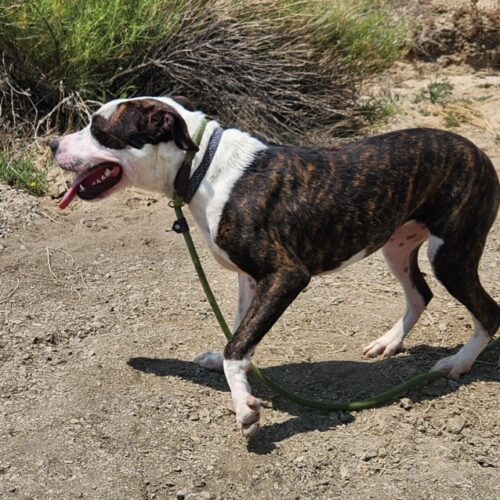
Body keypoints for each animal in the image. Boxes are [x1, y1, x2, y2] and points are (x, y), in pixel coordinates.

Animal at [50, 96, 500, 438]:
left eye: (98, 127)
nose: (53, 144)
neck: (201, 164)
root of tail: (477, 151)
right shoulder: (251, 278)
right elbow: (238, 331)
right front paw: (232, 373)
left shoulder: (286, 275)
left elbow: (237, 347)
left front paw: (244, 408)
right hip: (397, 245)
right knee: (420, 294)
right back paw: (389, 342)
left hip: (451, 255)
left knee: (488, 312)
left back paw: (458, 363)